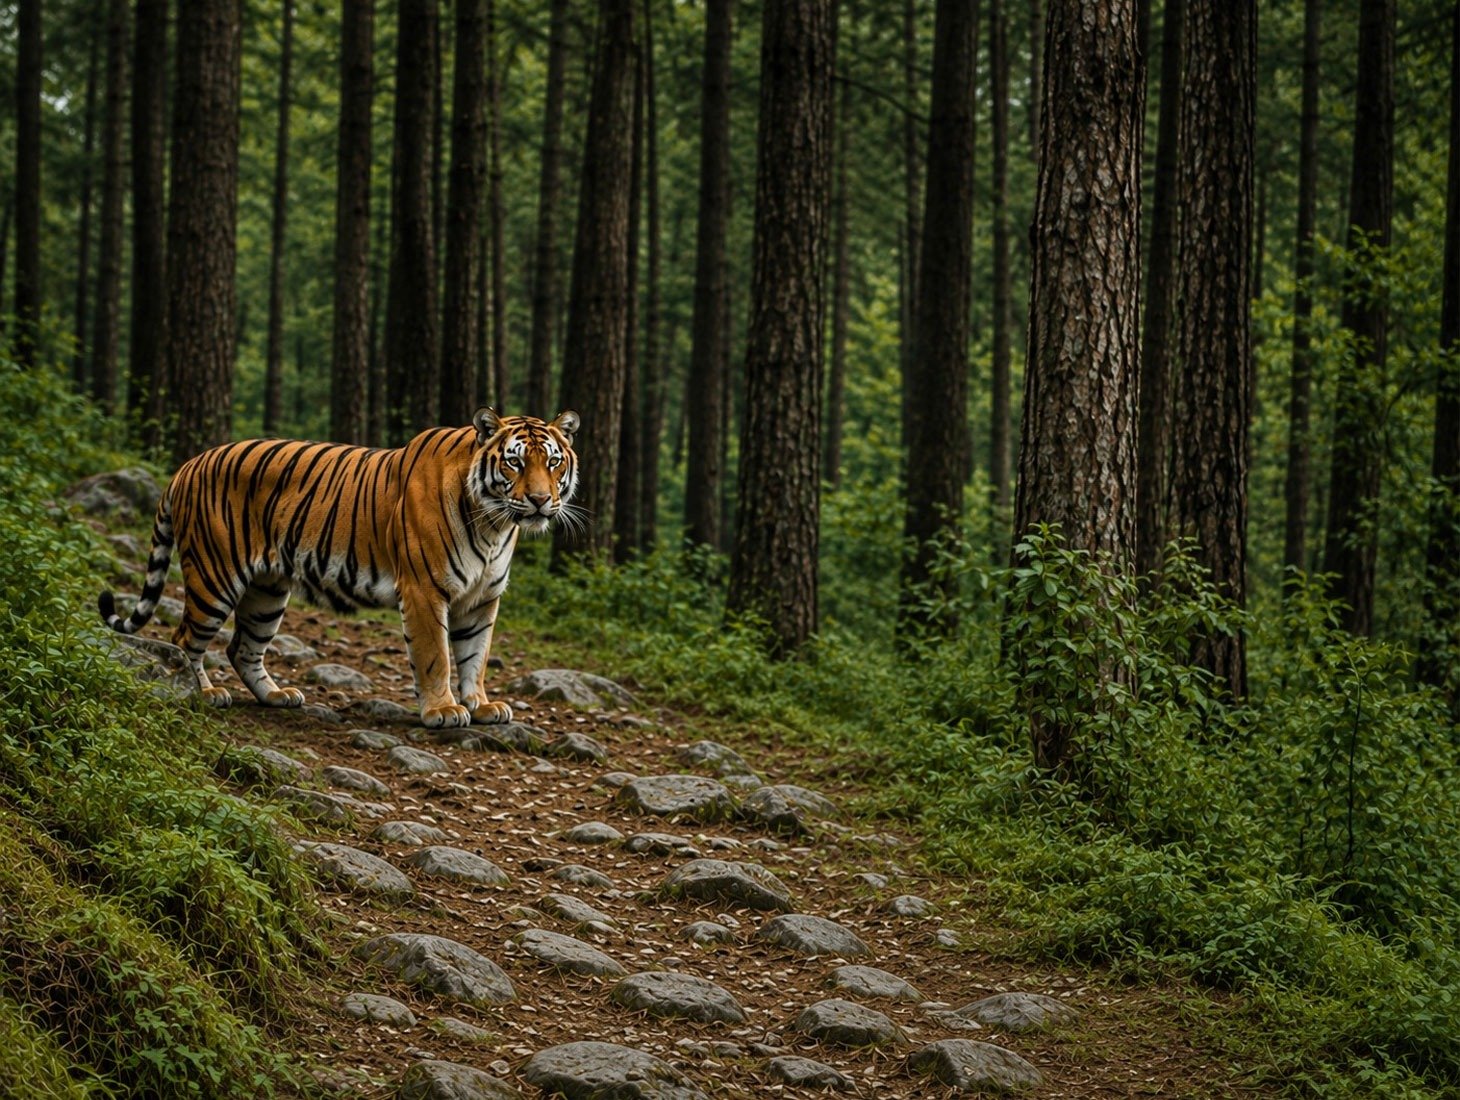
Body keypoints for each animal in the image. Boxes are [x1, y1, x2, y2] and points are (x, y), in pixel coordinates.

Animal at [99, 408, 580, 729]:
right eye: (515, 462)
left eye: (553, 462)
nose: (540, 500)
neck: (495, 524)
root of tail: (188, 464)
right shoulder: (424, 590)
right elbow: (436, 657)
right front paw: (443, 710)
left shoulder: (482, 599)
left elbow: (474, 656)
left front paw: (480, 705)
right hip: (214, 575)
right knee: (183, 639)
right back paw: (205, 693)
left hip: (267, 590)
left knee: (242, 647)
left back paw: (276, 695)